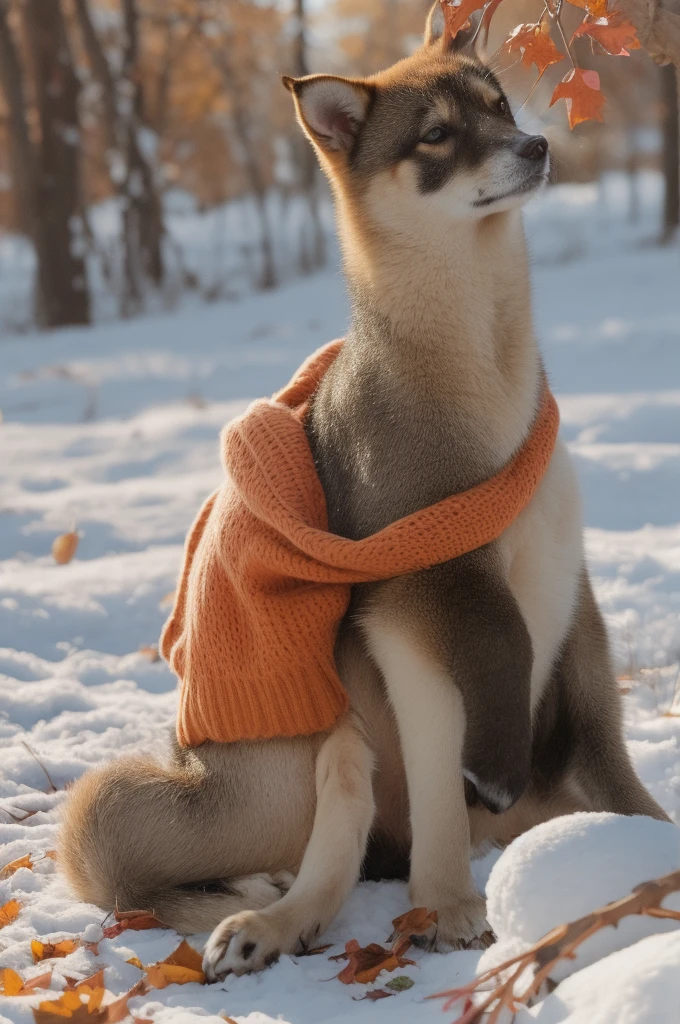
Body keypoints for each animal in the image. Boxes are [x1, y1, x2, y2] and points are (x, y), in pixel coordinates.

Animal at [59, 8, 667, 983]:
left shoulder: (569, 602)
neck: (475, 368)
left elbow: (607, 760)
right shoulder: (407, 606)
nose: (536, 145)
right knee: (282, 857)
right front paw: (451, 901)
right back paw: (264, 916)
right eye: (436, 135)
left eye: (500, 105)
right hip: (230, 775)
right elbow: (477, 698)